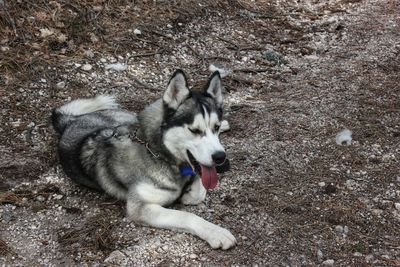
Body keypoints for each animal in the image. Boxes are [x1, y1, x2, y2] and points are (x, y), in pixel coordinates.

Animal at [51, 70, 236, 250]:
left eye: (215, 127)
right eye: (194, 130)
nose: (221, 158)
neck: (158, 153)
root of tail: (70, 122)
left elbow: (200, 184)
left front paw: (190, 194)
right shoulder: (141, 208)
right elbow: (186, 215)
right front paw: (216, 232)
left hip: (126, 117)